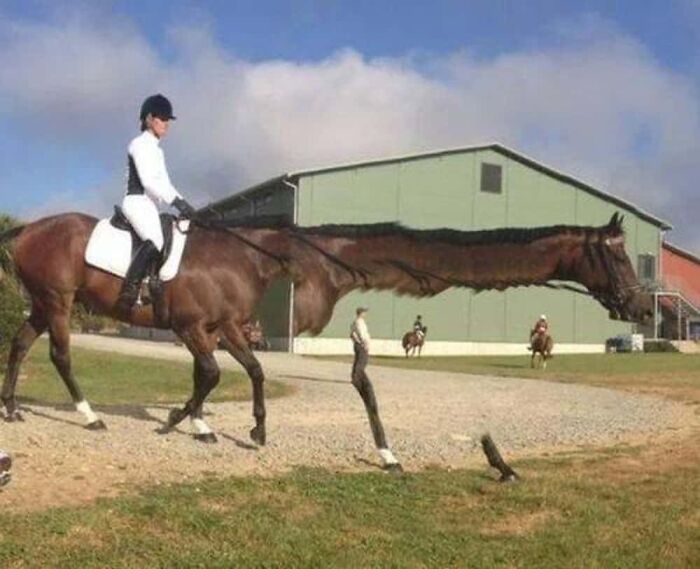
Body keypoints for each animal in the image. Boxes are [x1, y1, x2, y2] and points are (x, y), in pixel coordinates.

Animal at [1, 212, 653, 472]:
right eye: (617, 258)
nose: (642, 306)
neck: (261, 254)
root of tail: (27, 228)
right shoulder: (193, 327)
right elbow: (211, 376)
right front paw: (179, 421)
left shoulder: (224, 327)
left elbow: (249, 373)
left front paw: (241, 429)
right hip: (59, 301)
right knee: (58, 352)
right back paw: (88, 416)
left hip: (43, 303)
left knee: (21, 344)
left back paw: (12, 409)